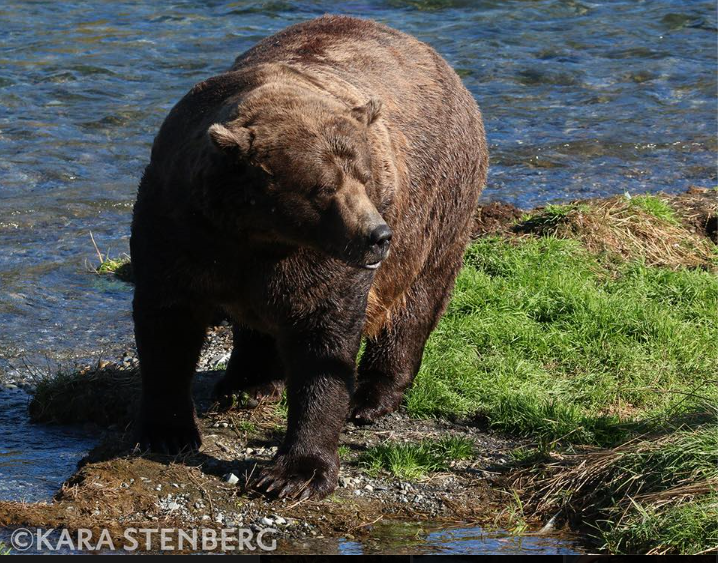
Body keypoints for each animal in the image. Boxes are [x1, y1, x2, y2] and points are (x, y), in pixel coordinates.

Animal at [131, 13, 490, 500]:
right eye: (322, 187)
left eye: (364, 175)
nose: (377, 235)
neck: (260, 233)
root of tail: (430, 53)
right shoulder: (179, 227)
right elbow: (167, 321)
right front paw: (168, 432)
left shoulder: (327, 264)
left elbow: (324, 340)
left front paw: (294, 473)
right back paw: (246, 383)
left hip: (441, 203)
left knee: (417, 300)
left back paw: (371, 396)